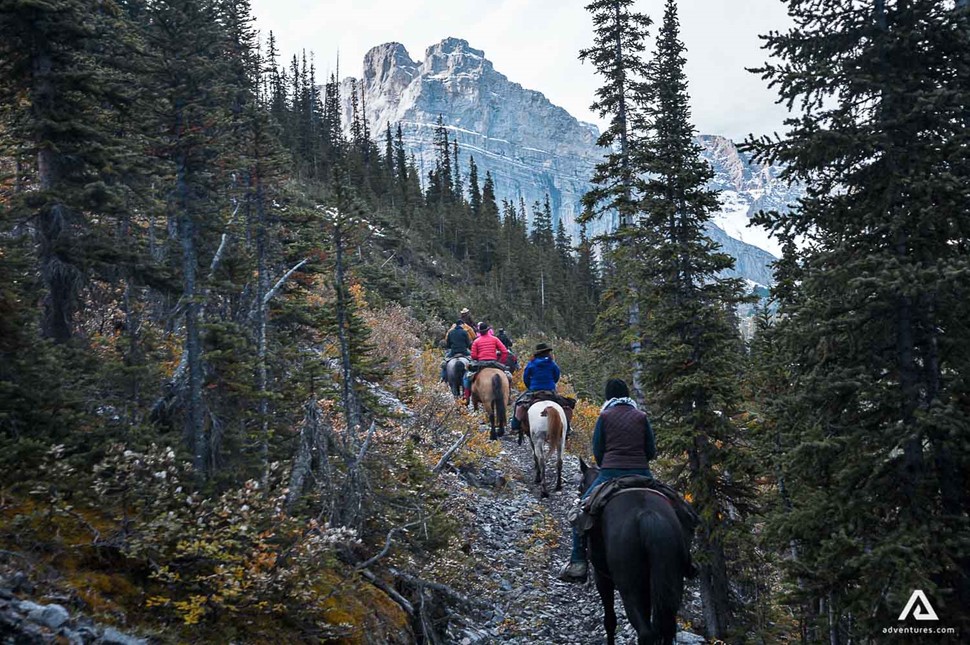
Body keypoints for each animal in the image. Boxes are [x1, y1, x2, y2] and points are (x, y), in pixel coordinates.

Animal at [580, 460, 684, 640]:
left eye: (580, 484)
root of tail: (647, 515)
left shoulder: (601, 577)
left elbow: (610, 621)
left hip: (629, 587)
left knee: (646, 633)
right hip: (672, 584)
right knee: (666, 628)